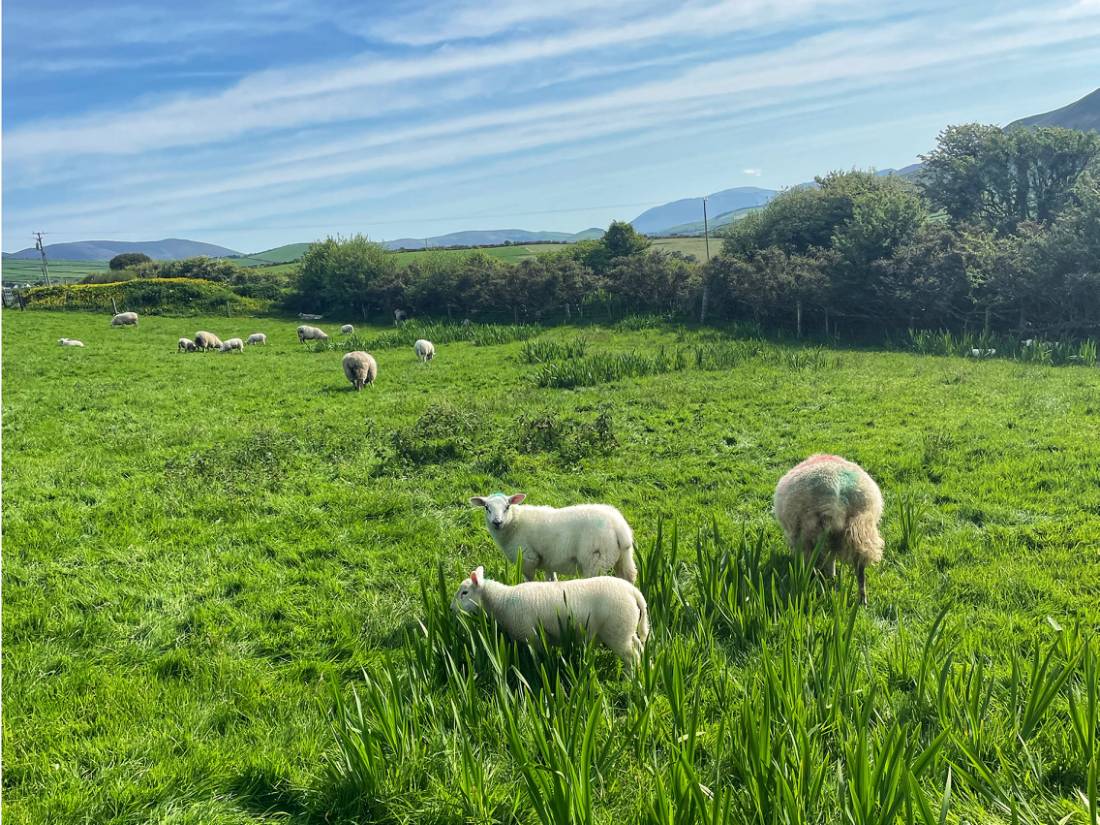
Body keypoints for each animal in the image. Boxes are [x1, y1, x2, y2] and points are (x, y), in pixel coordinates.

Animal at [451, 567, 646, 673]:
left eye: (464, 593)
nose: (452, 609)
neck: (502, 600)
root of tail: (633, 591)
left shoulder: (532, 637)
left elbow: (538, 660)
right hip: (626, 630)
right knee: (638, 646)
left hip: (616, 633)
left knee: (631, 657)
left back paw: (629, 679)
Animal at [468, 495, 642, 585]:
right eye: (486, 508)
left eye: (507, 507)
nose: (497, 522)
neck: (514, 524)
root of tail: (618, 525)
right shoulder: (548, 561)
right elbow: (551, 580)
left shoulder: (527, 559)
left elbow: (529, 581)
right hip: (624, 556)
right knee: (629, 576)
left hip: (596, 560)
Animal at [774, 455, 884, 602]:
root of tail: (838, 487)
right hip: (860, 529)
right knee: (859, 568)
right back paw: (862, 599)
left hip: (815, 531)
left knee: (818, 562)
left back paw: (817, 584)